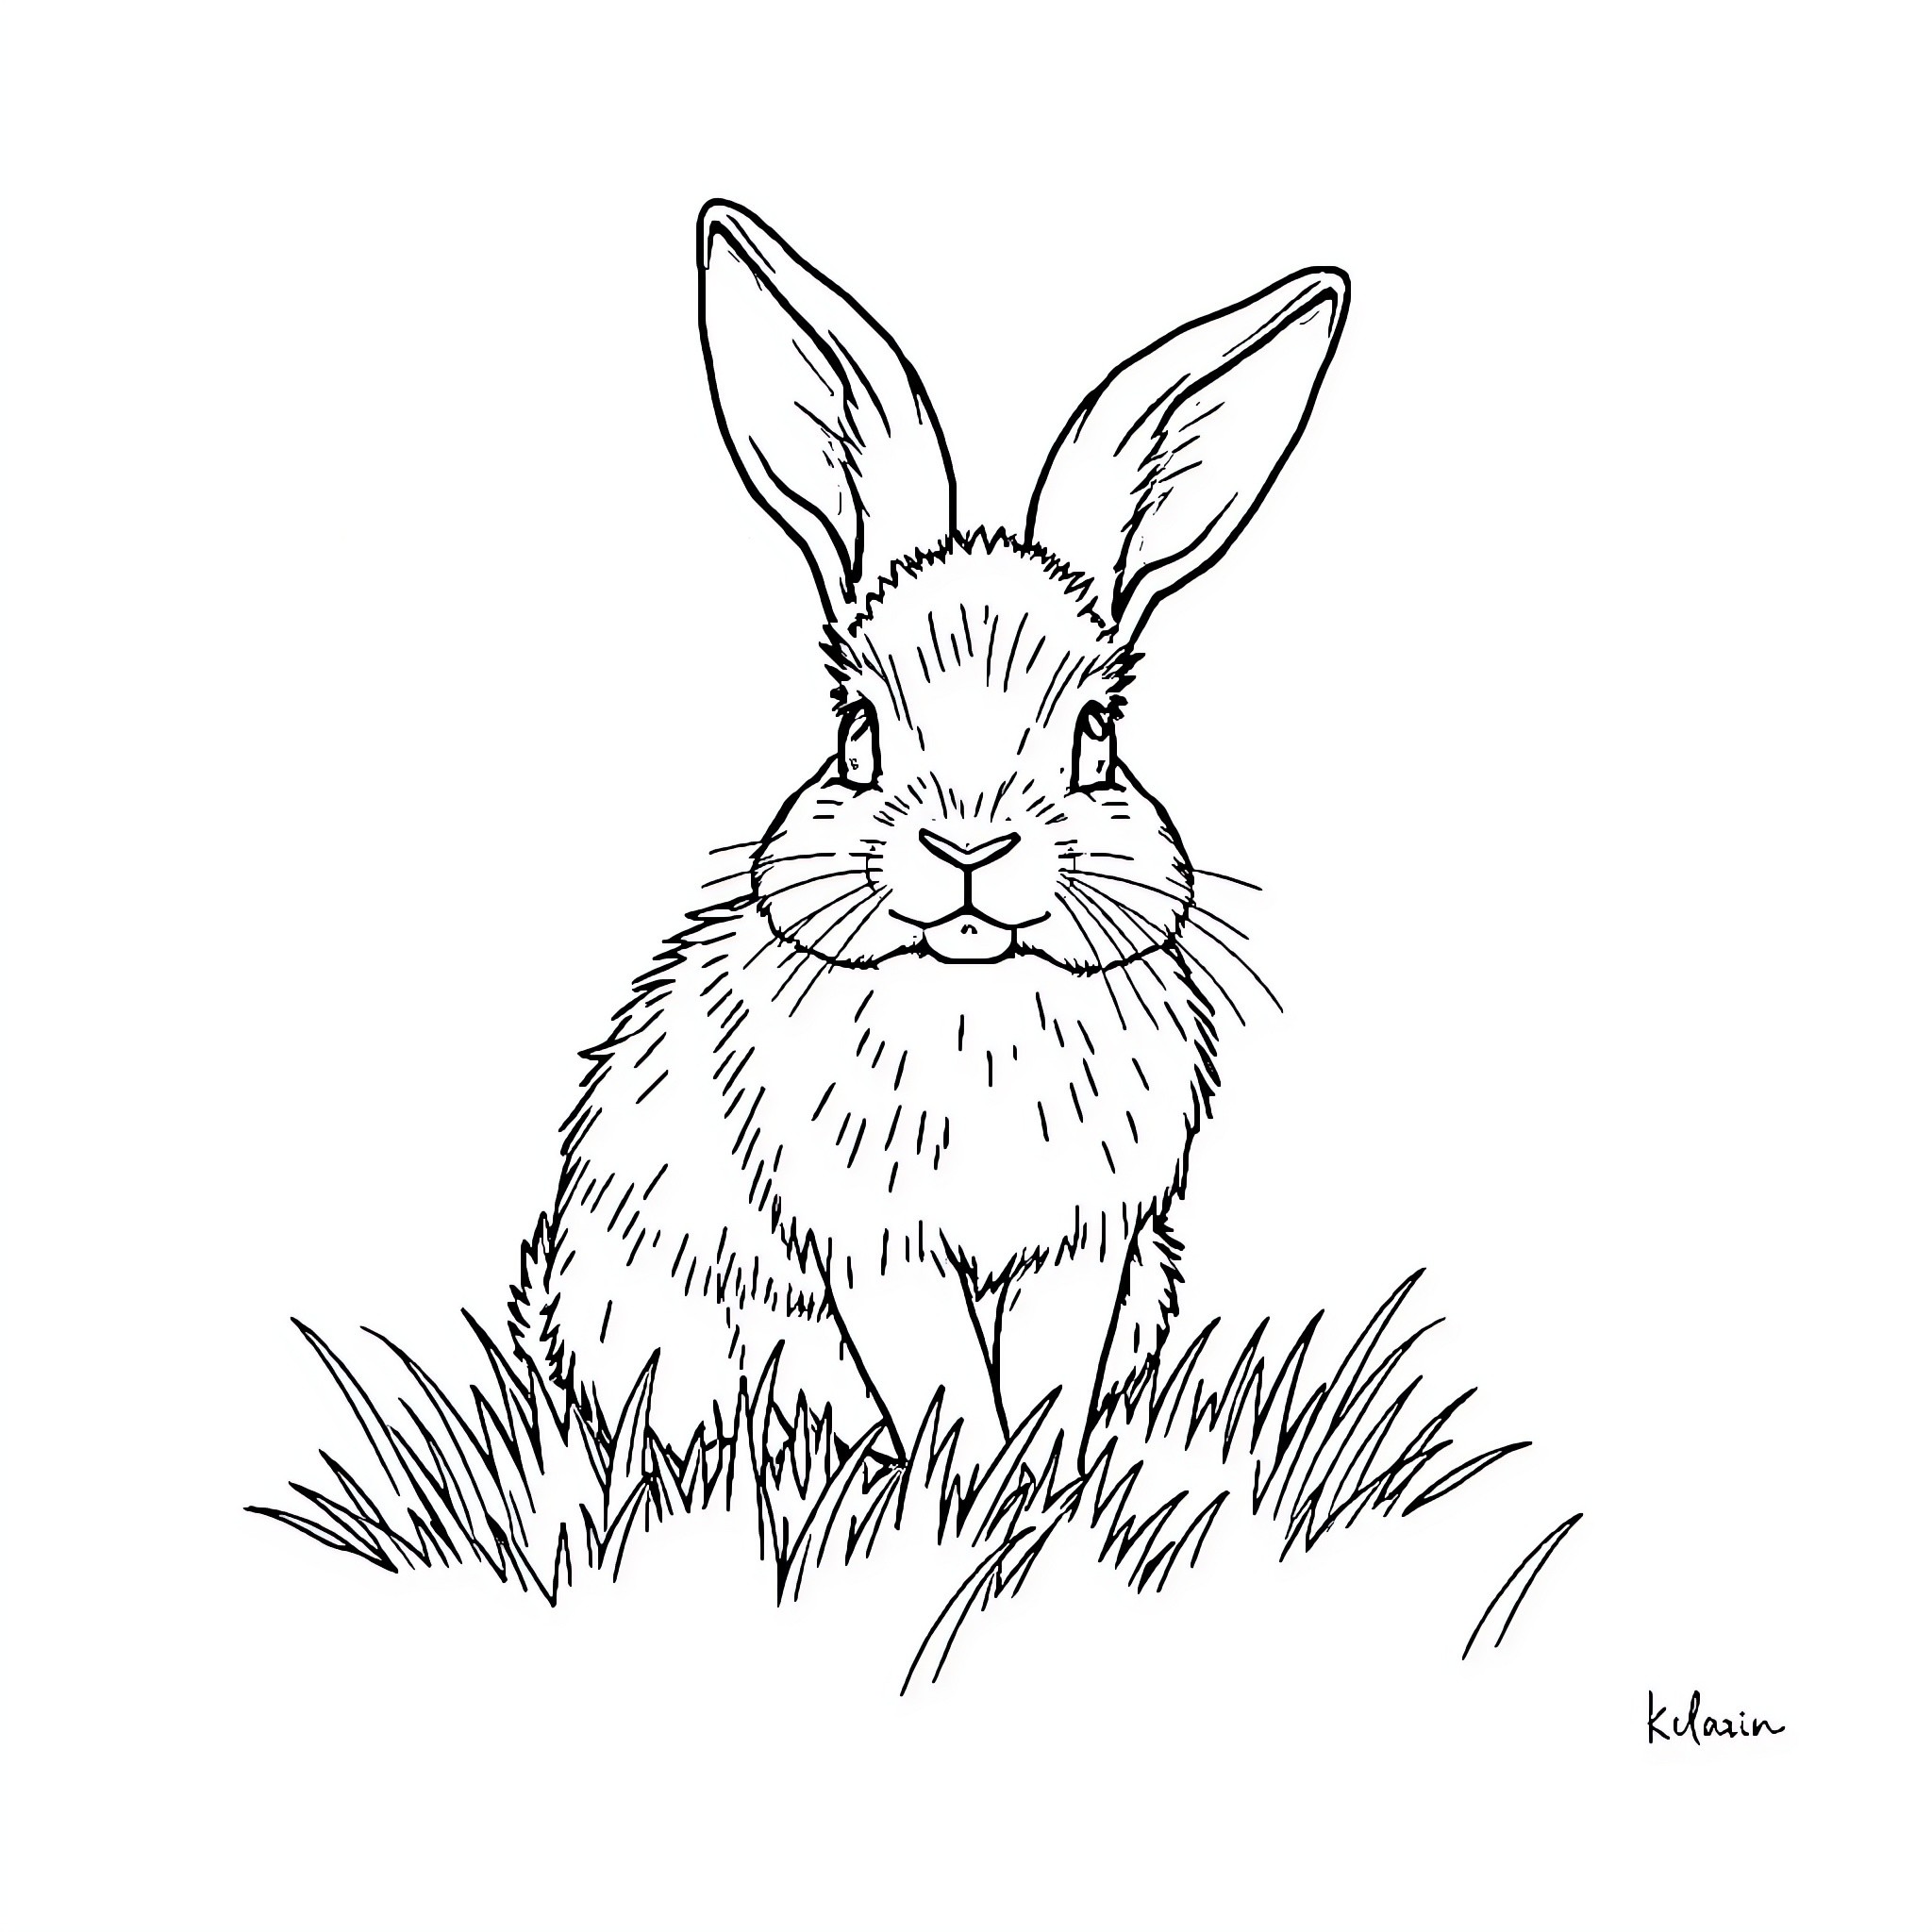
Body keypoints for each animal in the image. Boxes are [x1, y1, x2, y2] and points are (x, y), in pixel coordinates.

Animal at [509, 201, 1349, 1477]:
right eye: (854, 727)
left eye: (1095, 733)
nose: (966, 848)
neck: (975, 997)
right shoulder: (878, 1245)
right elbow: (943, 1385)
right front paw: (969, 1485)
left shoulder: (1085, 1245)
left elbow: (1048, 1380)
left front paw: (1037, 1484)